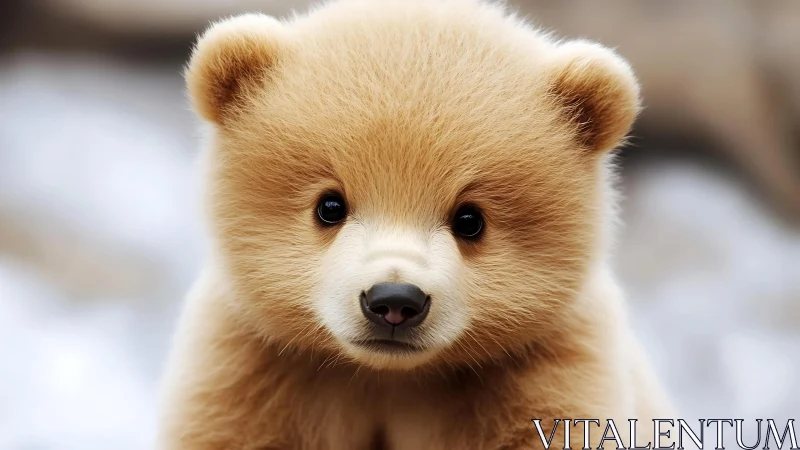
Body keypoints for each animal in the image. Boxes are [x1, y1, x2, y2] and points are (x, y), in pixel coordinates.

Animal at [157, 0, 674, 448]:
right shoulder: (257, 367)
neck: (389, 376)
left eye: (470, 219)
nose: (393, 301)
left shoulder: (542, 371)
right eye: (330, 206)